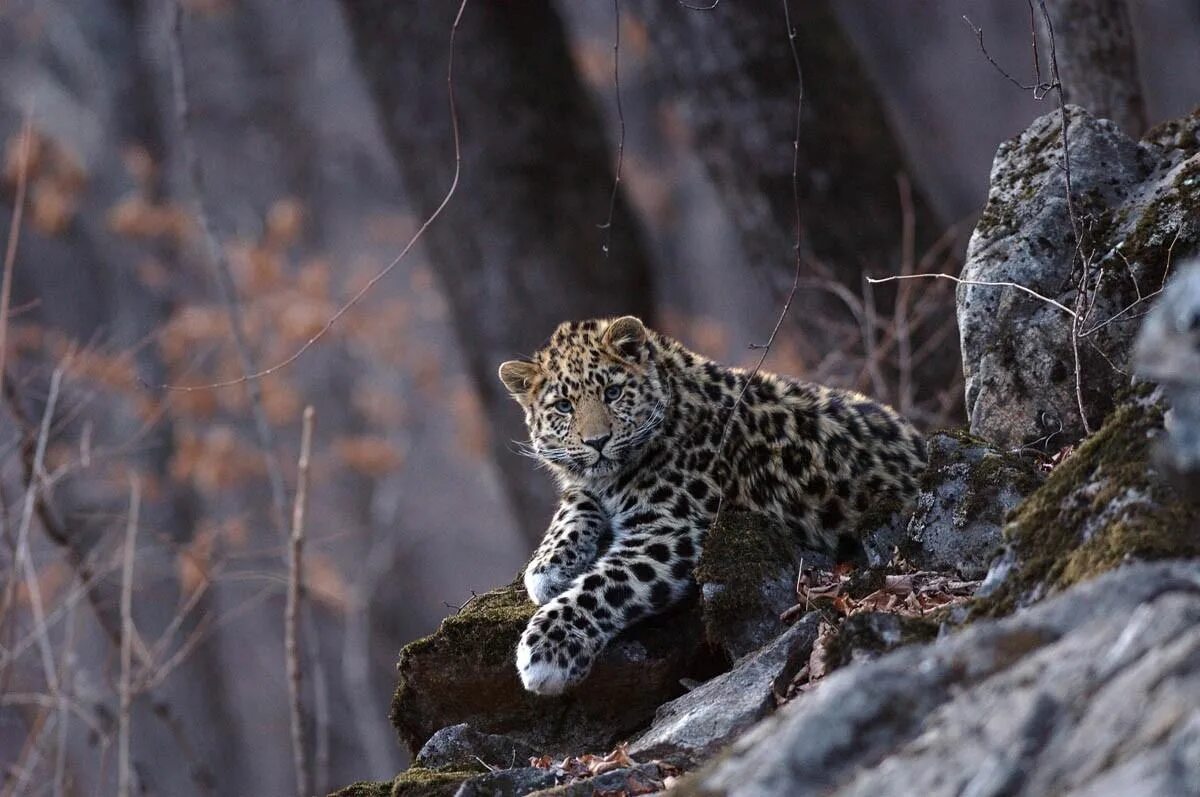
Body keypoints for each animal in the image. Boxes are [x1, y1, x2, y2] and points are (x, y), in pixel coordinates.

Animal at [496, 314, 926, 696]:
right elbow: (572, 505)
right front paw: (548, 566)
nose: (597, 442)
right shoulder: (590, 487)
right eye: (564, 407)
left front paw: (547, 648)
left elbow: (601, 585)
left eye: (612, 393)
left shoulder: (673, 532)